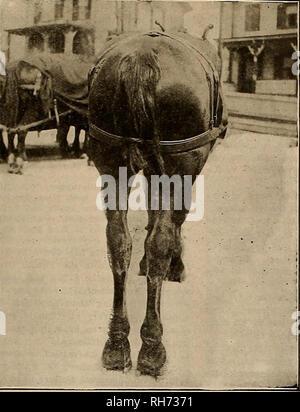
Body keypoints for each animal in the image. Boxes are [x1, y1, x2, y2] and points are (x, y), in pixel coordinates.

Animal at [89, 32, 227, 378]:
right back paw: (152, 346)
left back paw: (116, 342)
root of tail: (143, 57)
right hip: (183, 161)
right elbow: (170, 226)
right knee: (160, 242)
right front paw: (175, 265)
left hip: (111, 157)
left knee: (118, 241)